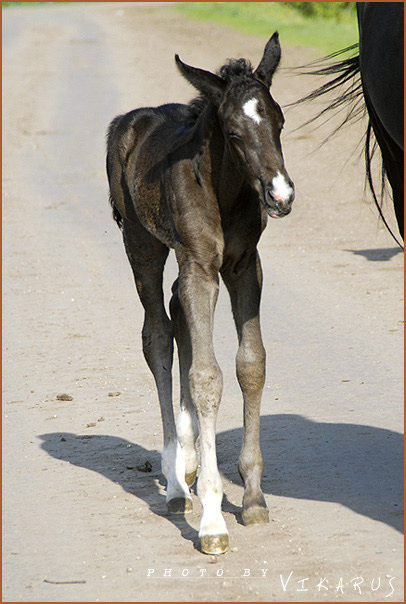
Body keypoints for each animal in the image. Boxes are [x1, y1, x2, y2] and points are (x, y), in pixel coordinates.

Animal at [106, 31, 294, 552]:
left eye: (279, 121)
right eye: (232, 133)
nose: (280, 195)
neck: (223, 191)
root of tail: (131, 121)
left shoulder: (243, 267)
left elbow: (250, 364)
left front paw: (252, 497)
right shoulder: (199, 266)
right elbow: (206, 377)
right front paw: (212, 520)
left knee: (175, 311)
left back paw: (187, 462)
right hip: (142, 245)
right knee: (157, 336)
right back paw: (175, 483)